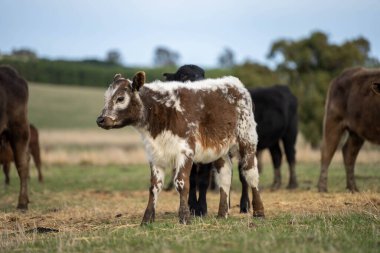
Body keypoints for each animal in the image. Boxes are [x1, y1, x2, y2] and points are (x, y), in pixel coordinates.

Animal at [96, 71, 266, 223]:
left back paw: (259, 211)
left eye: (120, 98)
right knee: (224, 176)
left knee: (251, 174)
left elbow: (182, 183)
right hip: (220, 149)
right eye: (106, 97)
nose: (100, 119)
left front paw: (184, 217)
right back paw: (222, 213)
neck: (162, 111)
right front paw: (147, 218)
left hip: (247, 140)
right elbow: (154, 186)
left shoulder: (185, 151)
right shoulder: (155, 154)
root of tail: (235, 83)